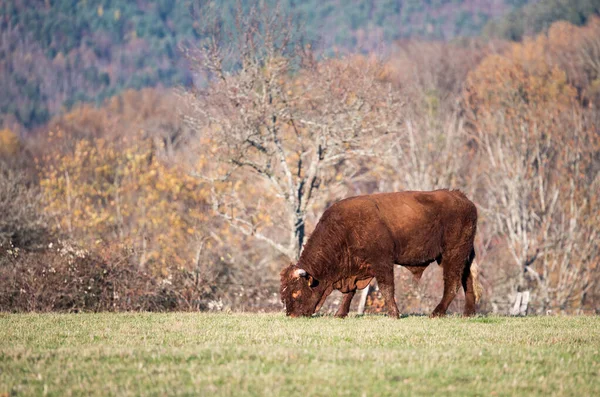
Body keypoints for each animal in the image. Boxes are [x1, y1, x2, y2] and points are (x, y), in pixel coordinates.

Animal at [282, 190, 482, 318]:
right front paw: (340, 314)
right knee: (467, 281)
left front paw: (394, 314)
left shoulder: (382, 263)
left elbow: (386, 289)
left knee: (453, 283)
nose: (291, 315)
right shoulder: (353, 270)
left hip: (452, 255)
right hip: (463, 257)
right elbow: (350, 293)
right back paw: (468, 314)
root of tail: (462, 197)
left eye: (296, 293)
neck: (344, 230)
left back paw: (436, 313)